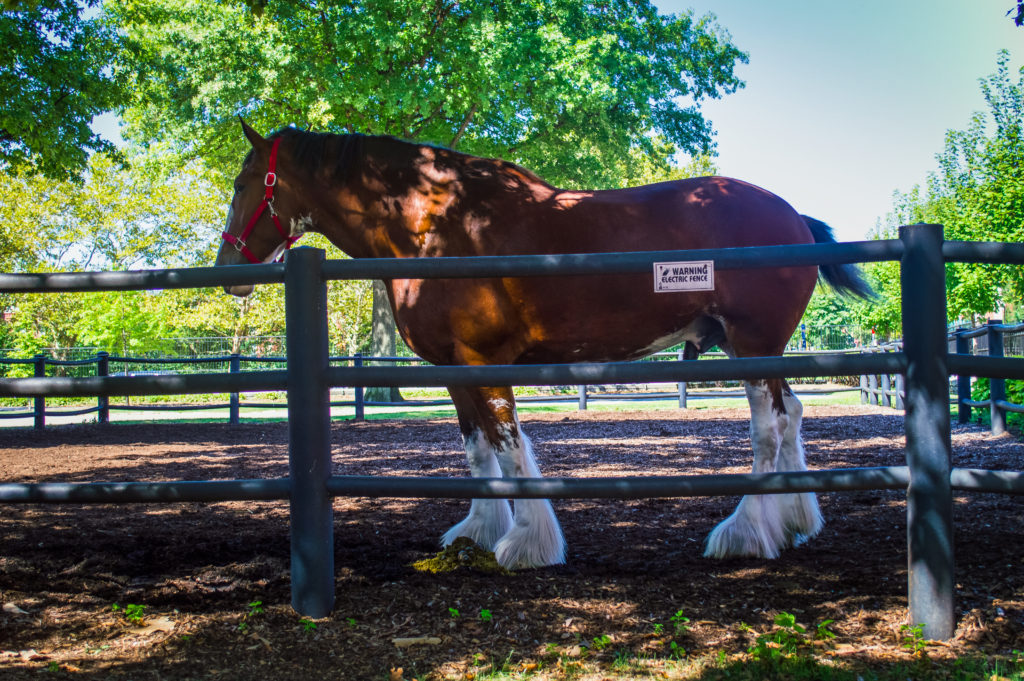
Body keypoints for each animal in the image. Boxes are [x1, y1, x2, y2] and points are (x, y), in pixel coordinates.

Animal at [216, 120, 872, 569]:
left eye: (244, 182)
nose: (228, 271)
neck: (437, 225)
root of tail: (795, 218)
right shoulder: (455, 368)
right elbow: (477, 450)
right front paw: (479, 531)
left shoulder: (482, 361)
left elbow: (509, 447)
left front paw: (526, 542)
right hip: (756, 350)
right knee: (793, 413)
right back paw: (794, 521)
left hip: (753, 345)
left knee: (770, 427)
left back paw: (745, 533)